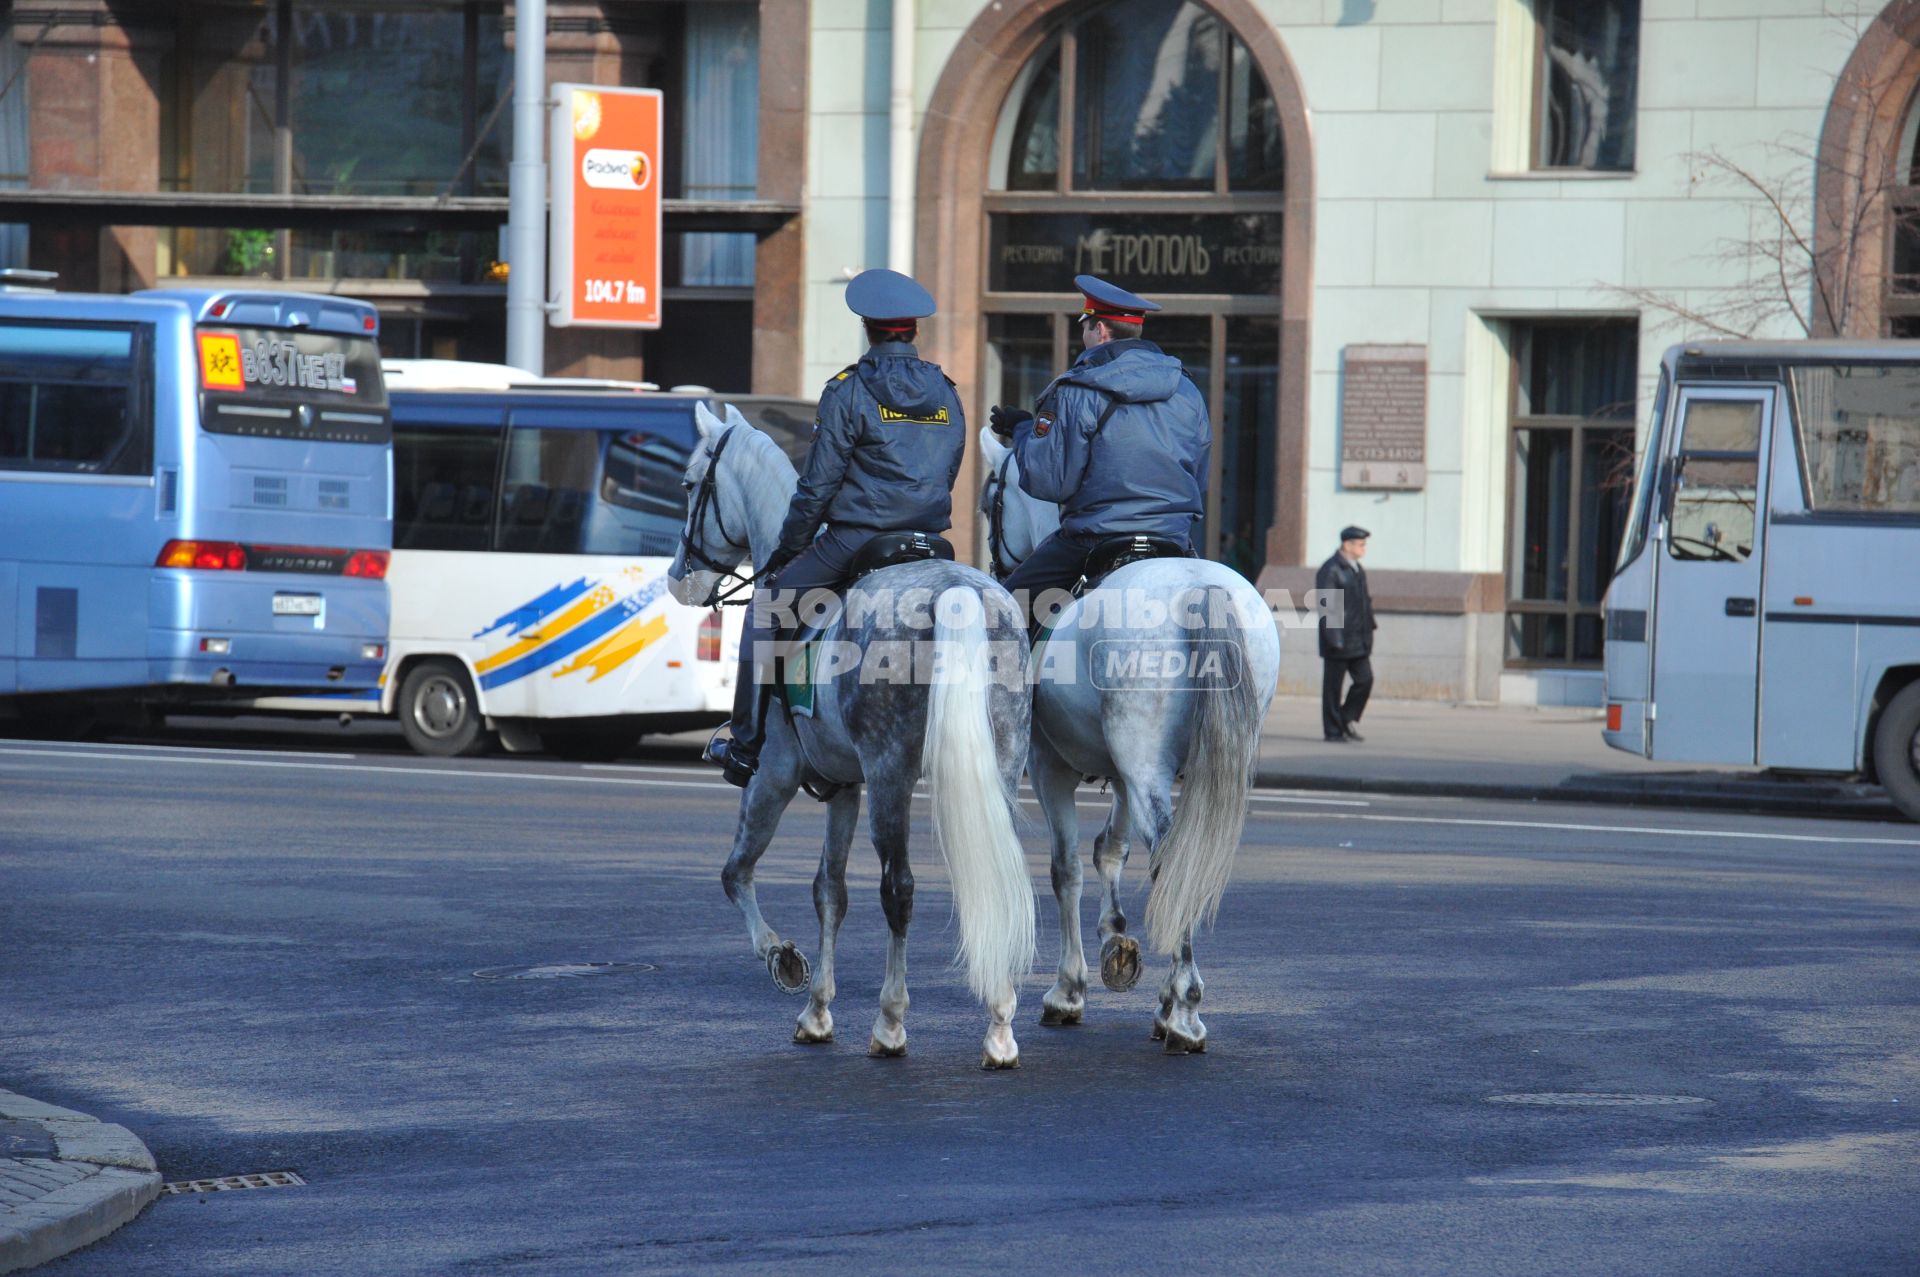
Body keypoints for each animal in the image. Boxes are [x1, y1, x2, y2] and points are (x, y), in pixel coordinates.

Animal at [672, 405, 1036, 1067]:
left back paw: (891, 1023)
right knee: (1001, 878)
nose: (677, 579)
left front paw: (784, 959)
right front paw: (817, 1010)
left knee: (899, 889)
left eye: (689, 484)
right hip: (998, 765)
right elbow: (830, 891)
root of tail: (961, 594)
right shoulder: (843, 785)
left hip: (889, 775)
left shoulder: (775, 775)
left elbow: (736, 872)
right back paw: (999, 1026)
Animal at [975, 426, 1274, 1044]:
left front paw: (1069, 988)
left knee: (1167, 855)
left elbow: (1065, 867)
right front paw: (1116, 939)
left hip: (1139, 766)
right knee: (1177, 859)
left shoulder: (1050, 767)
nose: (993, 560)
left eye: (990, 502)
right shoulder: (1121, 774)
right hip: (1171, 764)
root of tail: (1199, 589)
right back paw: (1174, 1001)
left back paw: (1183, 1008)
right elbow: (1109, 850)